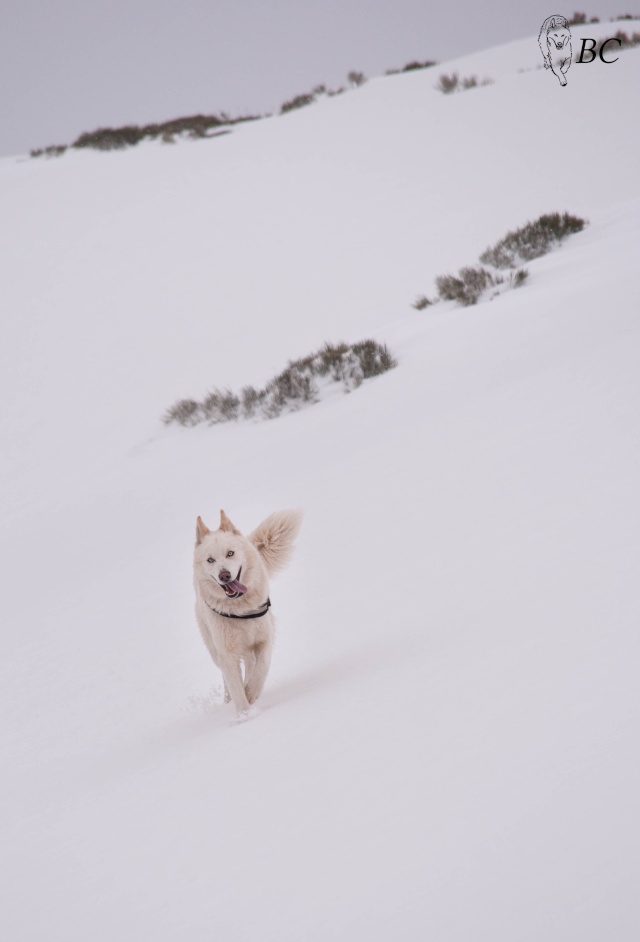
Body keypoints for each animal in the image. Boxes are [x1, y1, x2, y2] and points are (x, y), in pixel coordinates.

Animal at [192, 512, 302, 720]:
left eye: (230, 553)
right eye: (210, 560)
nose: (224, 575)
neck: (239, 609)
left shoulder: (264, 640)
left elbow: (261, 669)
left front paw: (251, 694)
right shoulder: (227, 654)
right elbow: (235, 686)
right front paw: (245, 715)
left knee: (251, 665)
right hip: (215, 650)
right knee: (227, 678)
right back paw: (229, 702)